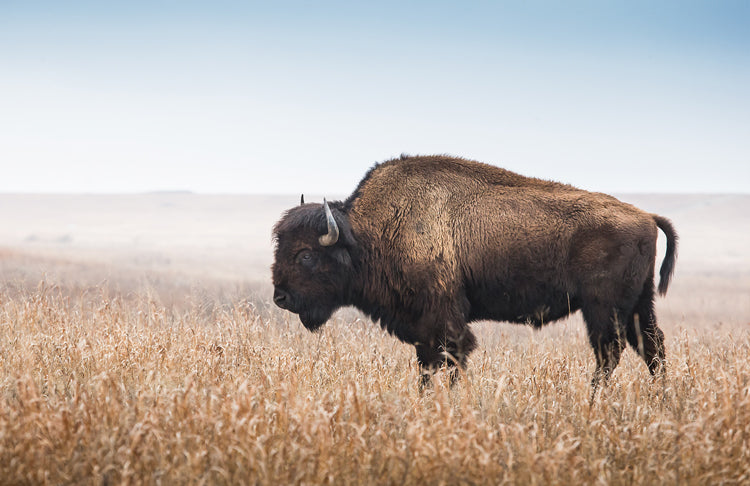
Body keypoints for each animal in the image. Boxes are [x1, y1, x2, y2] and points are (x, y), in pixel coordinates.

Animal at [272, 155, 677, 389]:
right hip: (638, 305)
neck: (368, 233)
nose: (280, 297)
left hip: (603, 308)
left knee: (610, 352)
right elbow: (427, 366)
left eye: (306, 255)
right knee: (652, 347)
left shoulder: (444, 320)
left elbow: (450, 359)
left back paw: (594, 400)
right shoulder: (423, 328)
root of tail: (645, 216)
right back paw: (660, 399)